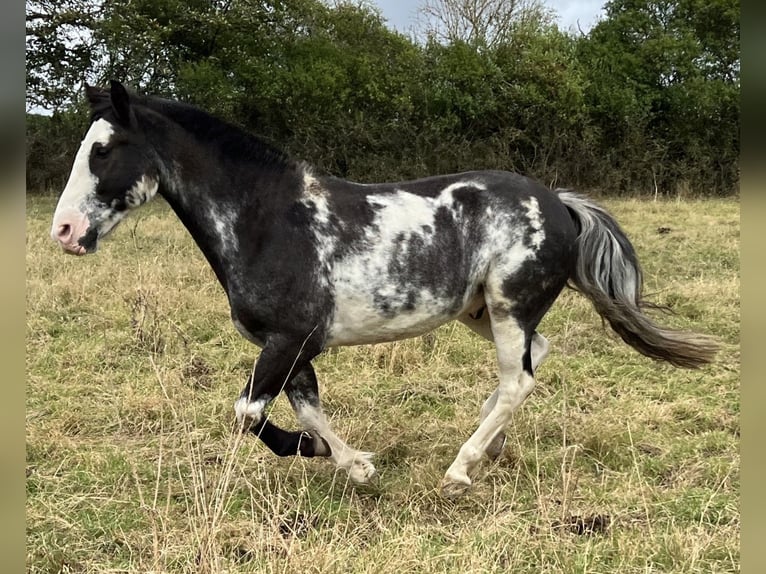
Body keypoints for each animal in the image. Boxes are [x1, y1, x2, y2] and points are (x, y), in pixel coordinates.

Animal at [51, 81, 724, 500]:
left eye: (103, 149)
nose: (65, 231)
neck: (267, 220)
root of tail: (559, 201)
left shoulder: (289, 340)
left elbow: (250, 415)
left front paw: (313, 453)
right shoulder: (293, 347)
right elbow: (308, 409)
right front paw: (353, 465)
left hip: (509, 305)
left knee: (519, 379)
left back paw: (460, 468)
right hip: (479, 309)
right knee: (534, 361)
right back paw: (489, 446)